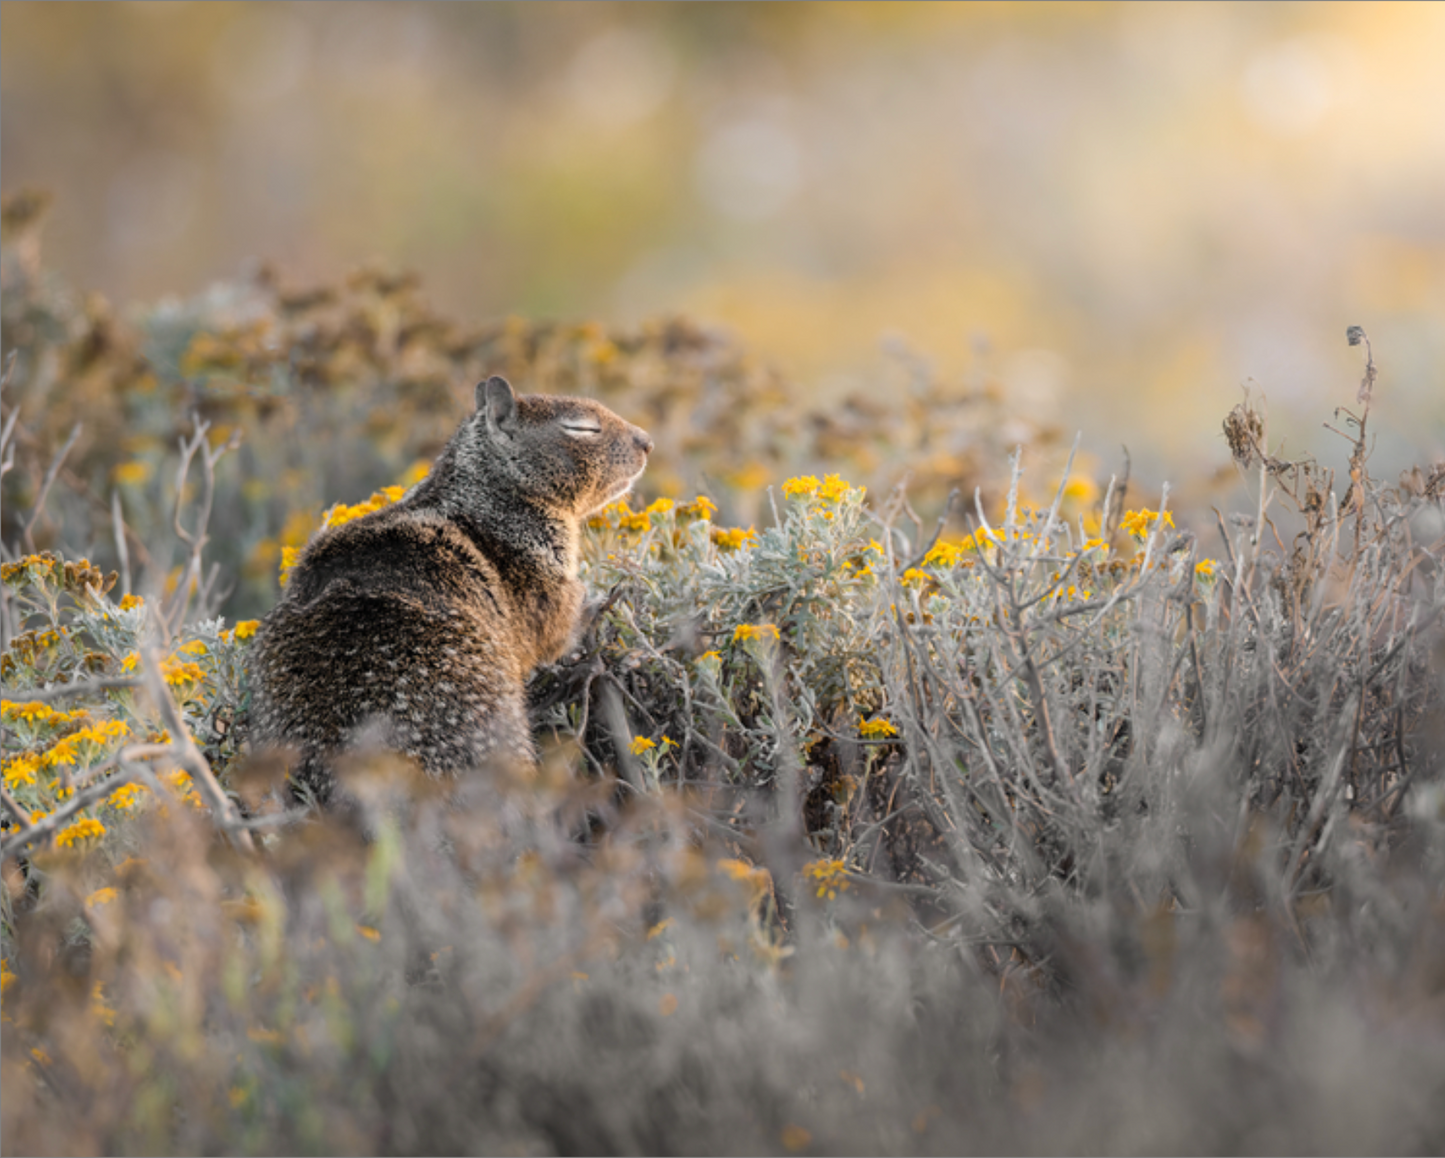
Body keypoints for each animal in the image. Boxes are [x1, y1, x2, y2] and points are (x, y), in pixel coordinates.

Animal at [251, 378, 653, 803]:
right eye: (582, 428)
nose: (647, 442)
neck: (483, 497)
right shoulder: (546, 584)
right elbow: (560, 633)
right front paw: (604, 603)